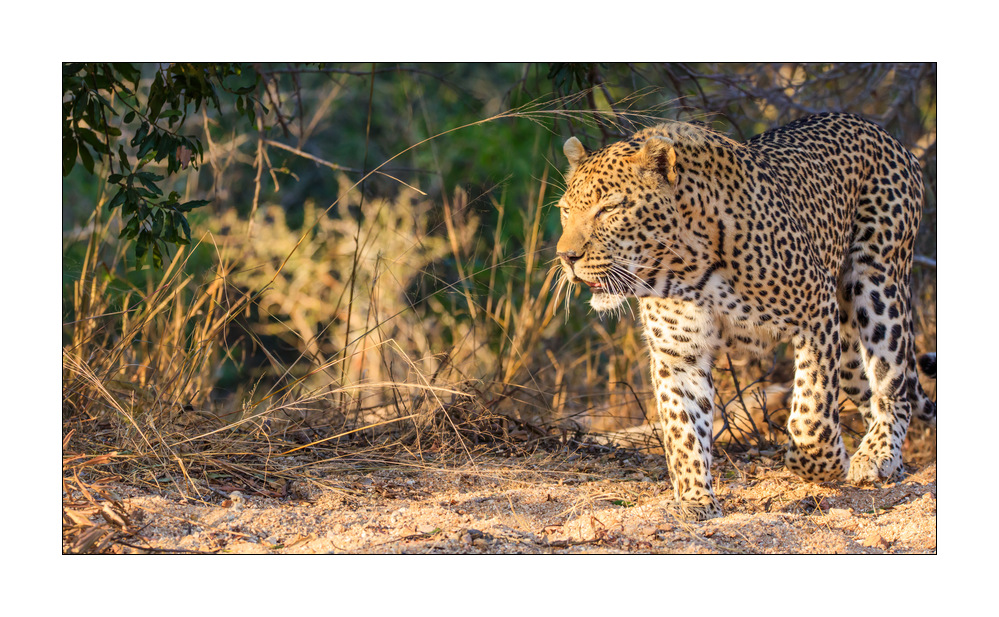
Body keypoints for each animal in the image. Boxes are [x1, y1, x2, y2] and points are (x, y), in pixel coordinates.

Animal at [554, 112, 936, 521]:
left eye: (609, 209)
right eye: (565, 210)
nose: (566, 257)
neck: (683, 268)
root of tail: (882, 132)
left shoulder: (815, 308)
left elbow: (811, 411)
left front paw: (826, 464)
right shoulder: (679, 355)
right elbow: (683, 430)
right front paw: (695, 501)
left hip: (878, 283)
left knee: (894, 386)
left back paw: (875, 455)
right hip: (847, 340)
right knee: (866, 391)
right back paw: (885, 461)